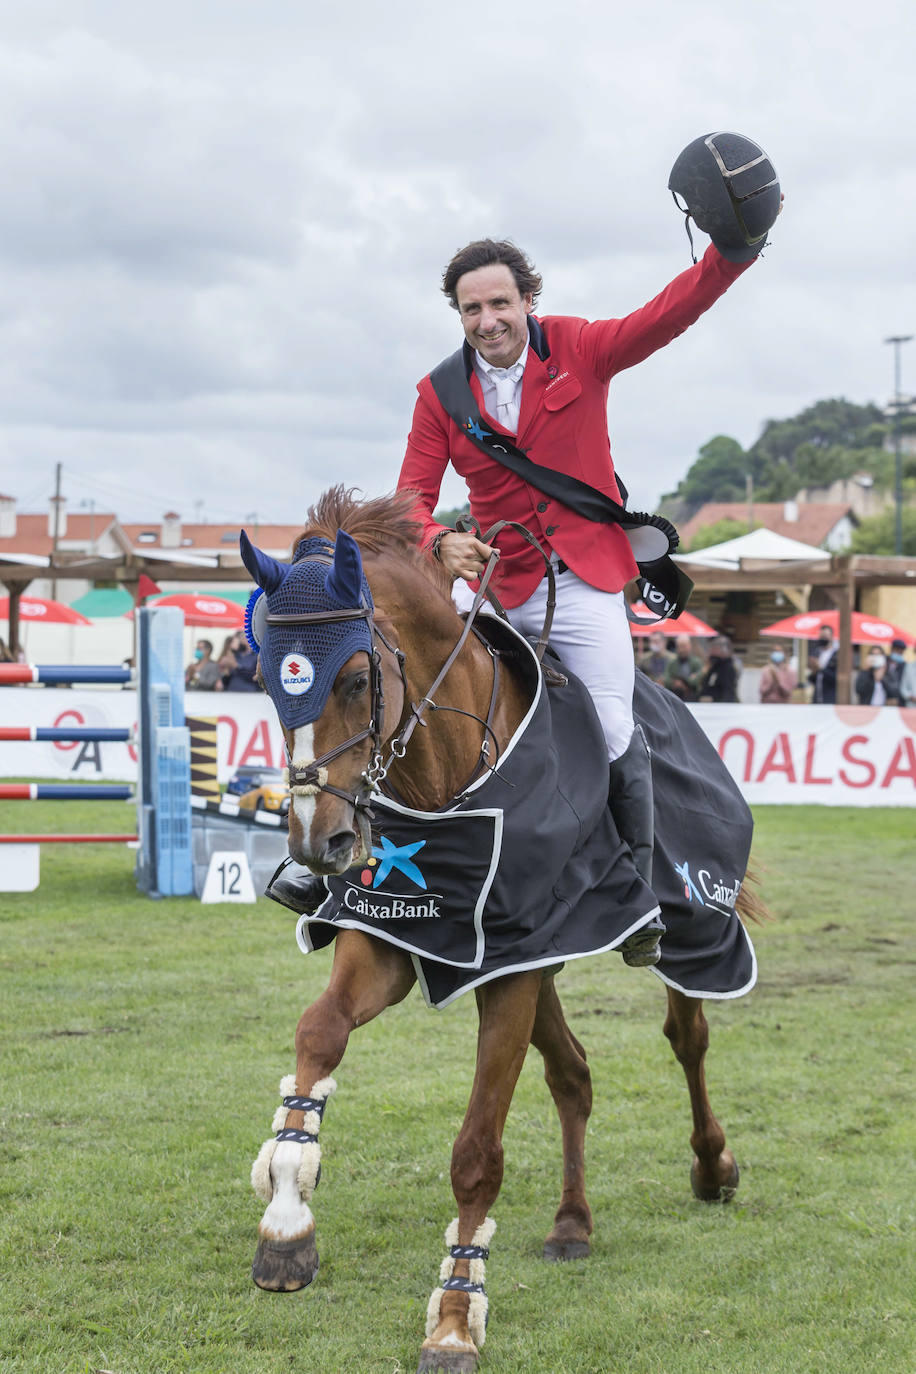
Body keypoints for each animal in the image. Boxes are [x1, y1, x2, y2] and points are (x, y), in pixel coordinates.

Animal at [240, 491, 758, 1374]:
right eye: (270, 684)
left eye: (356, 679)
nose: (318, 845)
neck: (440, 776)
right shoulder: (400, 939)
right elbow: (318, 1033)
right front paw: (286, 1220)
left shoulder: (508, 969)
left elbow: (477, 1152)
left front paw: (455, 1316)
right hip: (543, 954)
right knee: (573, 1073)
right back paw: (572, 1223)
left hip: (688, 931)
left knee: (687, 1036)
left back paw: (711, 1165)